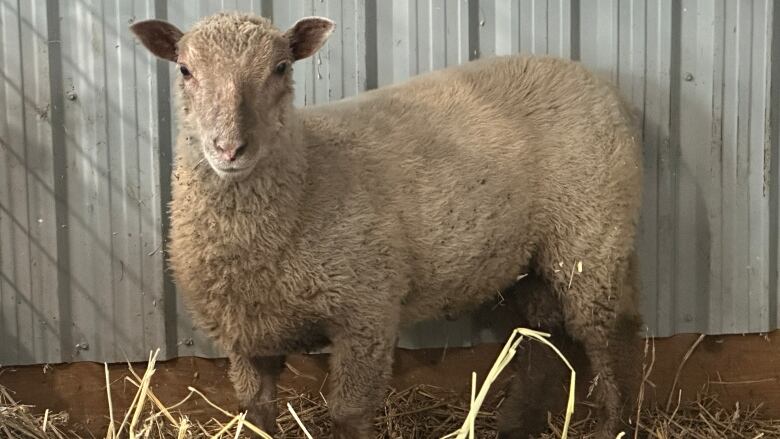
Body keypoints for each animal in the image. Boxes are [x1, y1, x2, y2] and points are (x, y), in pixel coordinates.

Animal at [131, 12, 644, 438]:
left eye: (280, 68)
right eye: (185, 70)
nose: (229, 148)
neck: (307, 176)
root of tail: (587, 77)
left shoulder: (366, 312)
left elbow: (348, 414)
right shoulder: (247, 335)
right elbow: (256, 414)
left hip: (590, 234)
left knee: (608, 334)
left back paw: (613, 425)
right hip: (532, 259)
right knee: (544, 340)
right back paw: (517, 426)